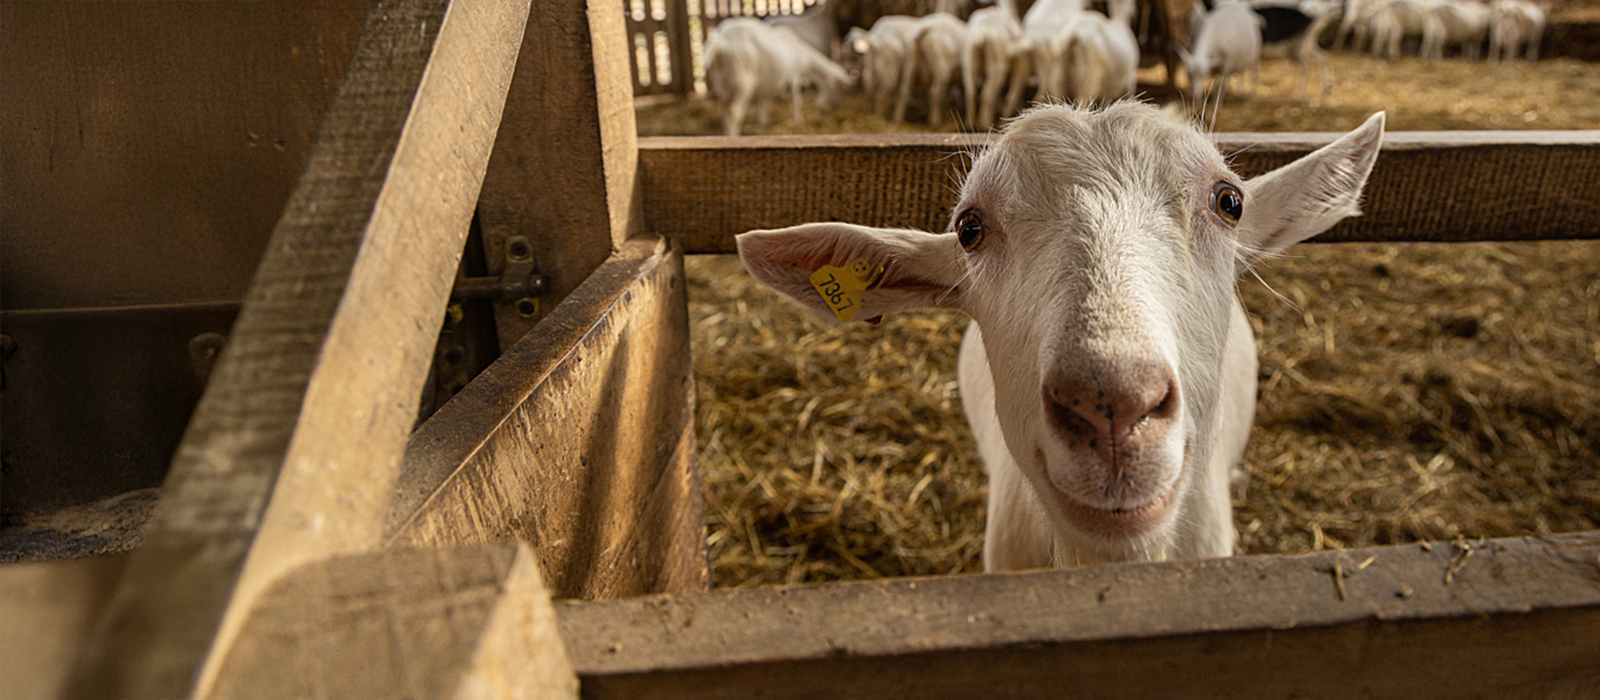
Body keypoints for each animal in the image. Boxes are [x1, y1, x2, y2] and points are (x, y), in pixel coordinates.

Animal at [703, 18, 853, 136]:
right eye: (840, 87)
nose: (837, 106)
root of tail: (721, 42)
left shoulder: (769, 80)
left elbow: (765, 101)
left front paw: (763, 121)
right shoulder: (794, 77)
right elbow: (796, 101)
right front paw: (798, 120)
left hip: (721, 84)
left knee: (724, 110)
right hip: (742, 83)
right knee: (735, 113)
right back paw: (733, 136)